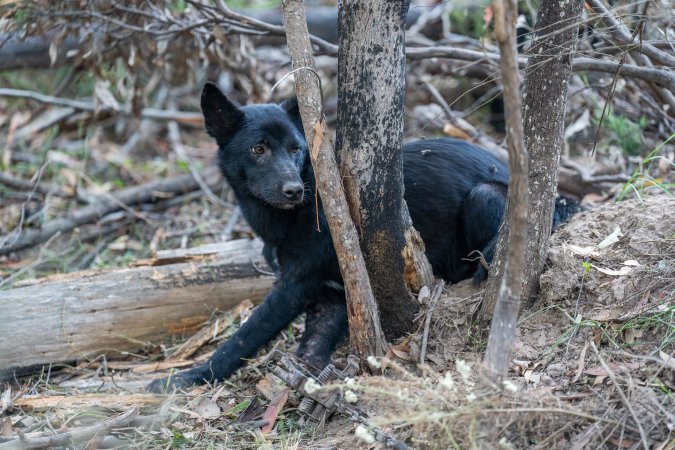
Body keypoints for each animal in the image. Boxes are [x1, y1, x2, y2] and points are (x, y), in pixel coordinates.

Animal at [148, 82, 576, 392]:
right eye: (258, 149)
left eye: (296, 149)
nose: (294, 191)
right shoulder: (332, 295)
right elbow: (310, 347)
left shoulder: (294, 286)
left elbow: (243, 337)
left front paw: (188, 377)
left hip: (484, 195)